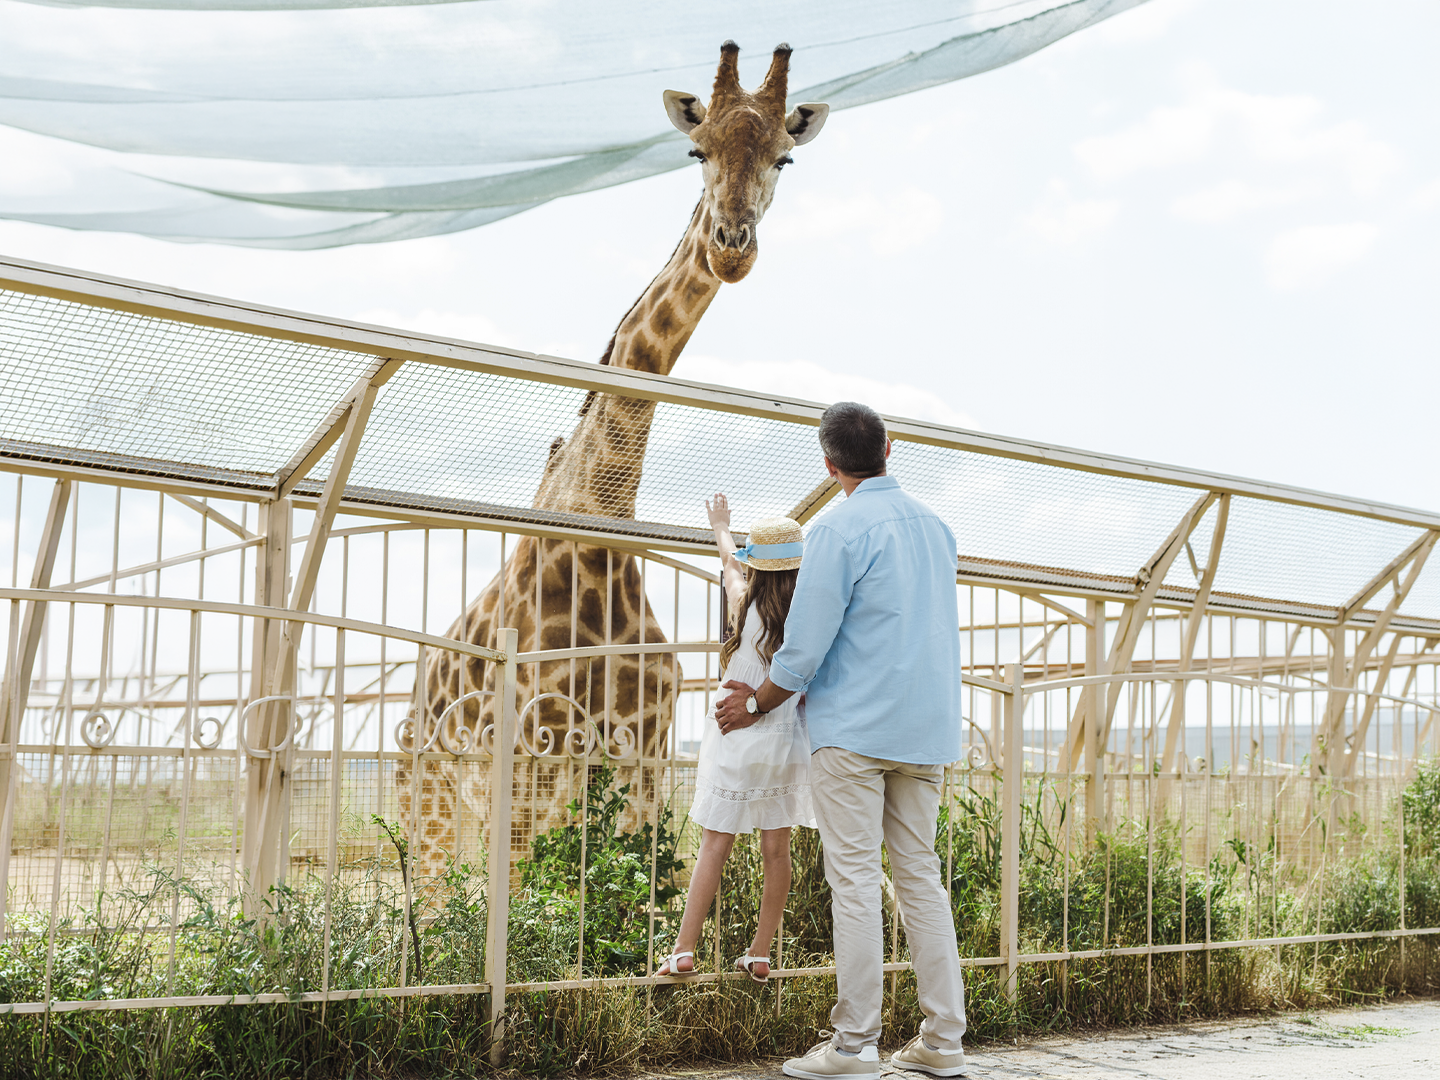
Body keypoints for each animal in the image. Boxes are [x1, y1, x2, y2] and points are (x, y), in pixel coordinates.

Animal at [398, 41, 829, 888]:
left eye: (784, 158)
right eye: (697, 151)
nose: (731, 246)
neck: (598, 525)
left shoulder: (640, 765)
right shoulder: (526, 769)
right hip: (428, 795)